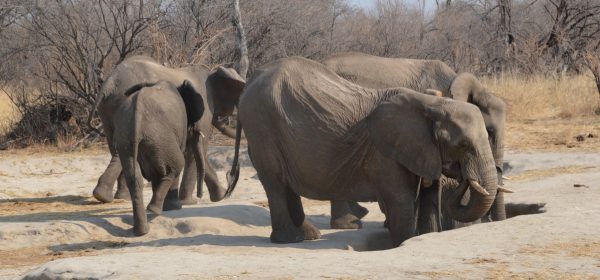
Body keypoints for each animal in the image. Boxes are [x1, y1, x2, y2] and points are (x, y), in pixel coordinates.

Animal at [90, 56, 245, 206]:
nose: (228, 189)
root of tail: (109, 83)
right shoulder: (204, 109)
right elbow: (195, 150)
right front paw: (191, 202)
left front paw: (217, 197)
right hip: (121, 103)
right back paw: (110, 196)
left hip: (110, 110)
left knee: (117, 147)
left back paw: (110, 196)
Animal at [113, 80, 205, 235]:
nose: (199, 196)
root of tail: (137, 116)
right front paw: (173, 208)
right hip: (160, 137)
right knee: (175, 166)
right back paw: (153, 210)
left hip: (127, 139)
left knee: (134, 177)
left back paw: (142, 230)